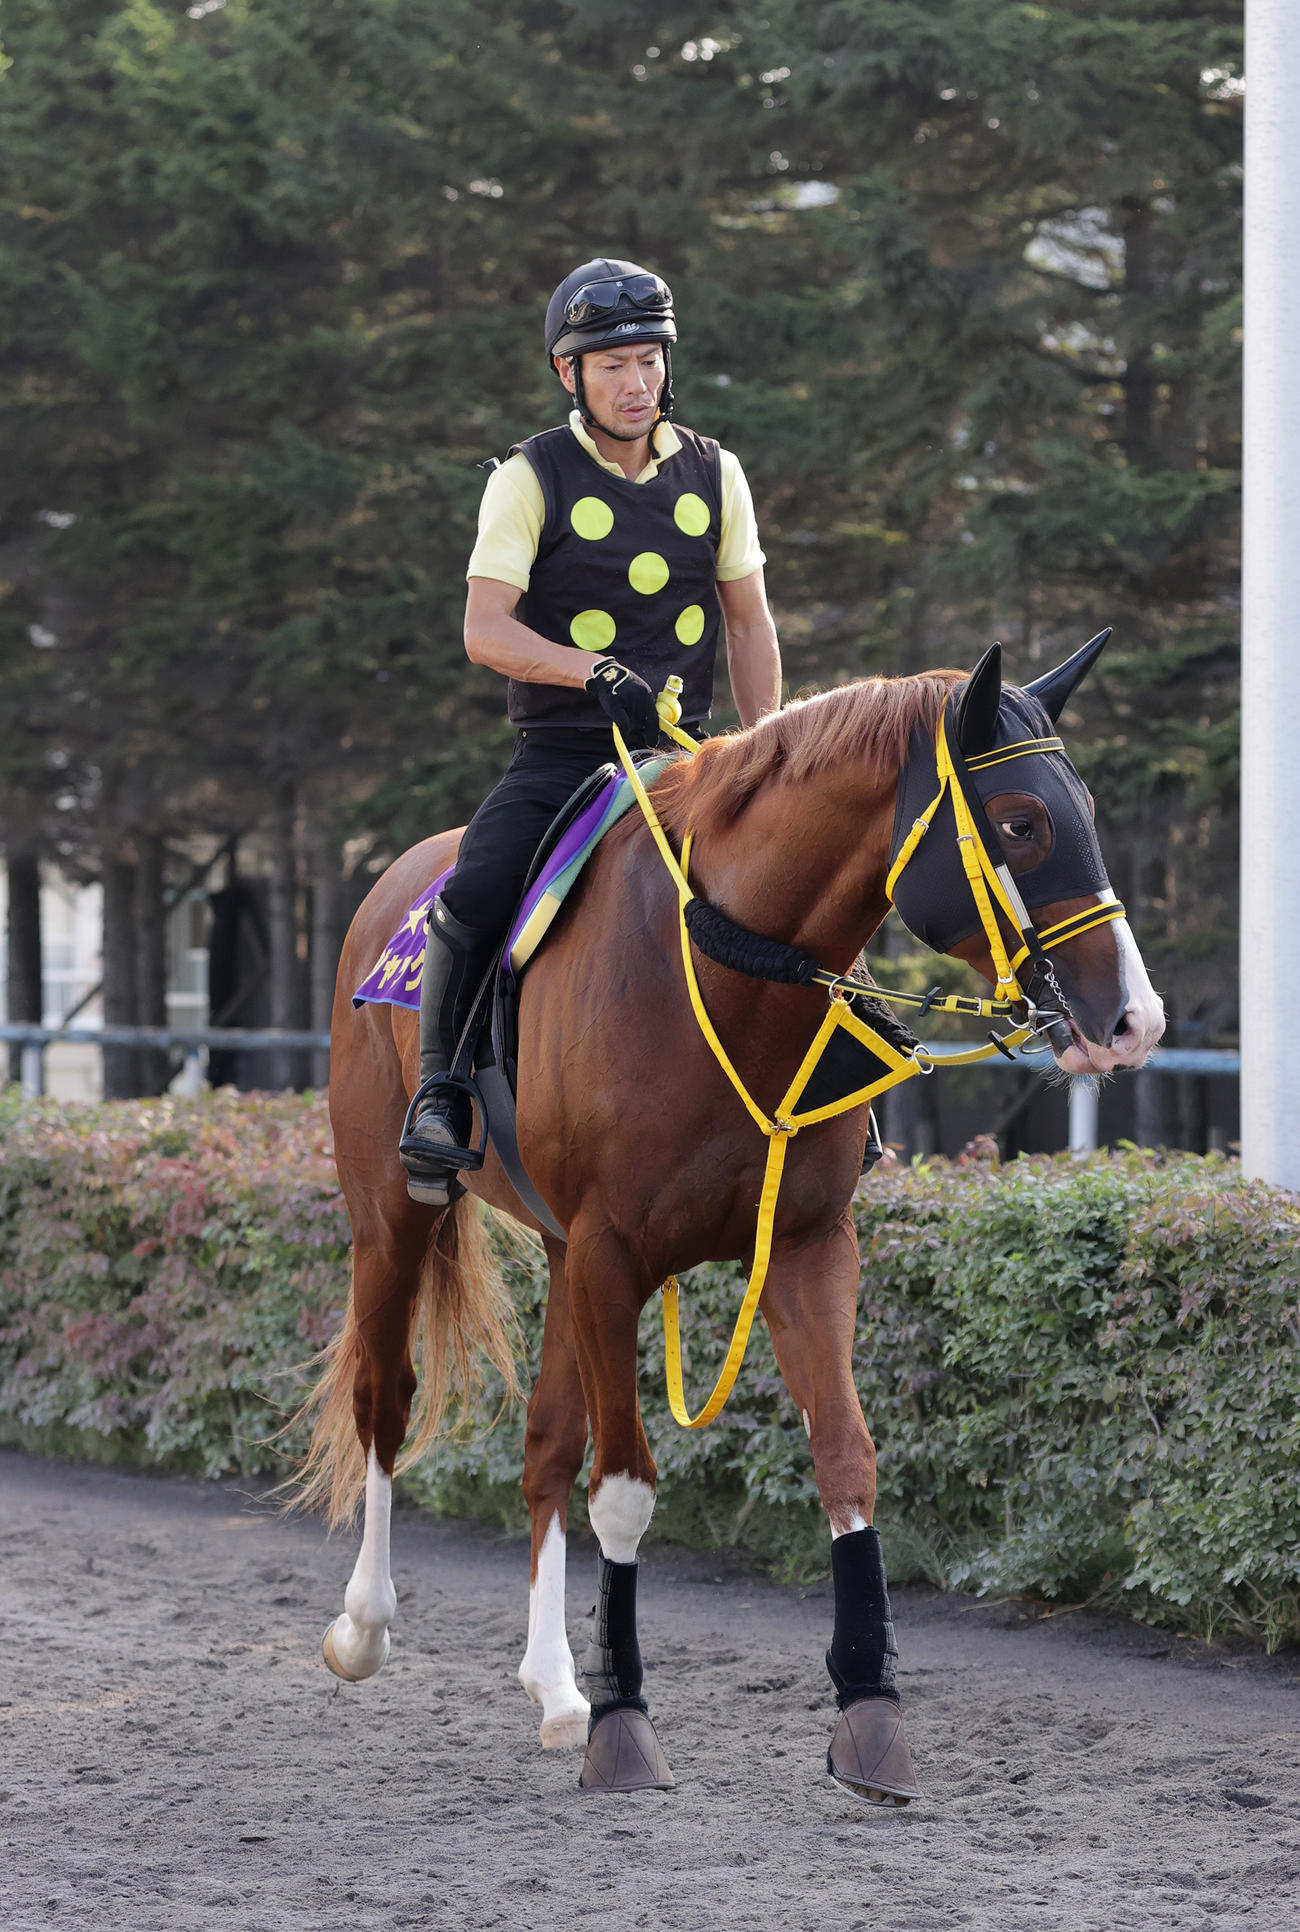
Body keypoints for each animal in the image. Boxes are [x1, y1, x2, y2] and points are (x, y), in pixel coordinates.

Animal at [295, 639, 1165, 1800]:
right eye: (1022, 822)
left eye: (1088, 812)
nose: (1132, 1020)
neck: (725, 969)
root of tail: (394, 885)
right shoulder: (611, 1255)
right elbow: (623, 1490)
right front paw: (626, 1726)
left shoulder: (804, 1247)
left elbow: (845, 1457)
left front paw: (870, 1712)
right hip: (393, 1216)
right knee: (385, 1402)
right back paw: (366, 1626)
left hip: (557, 1252)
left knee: (543, 1445)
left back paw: (556, 1688)